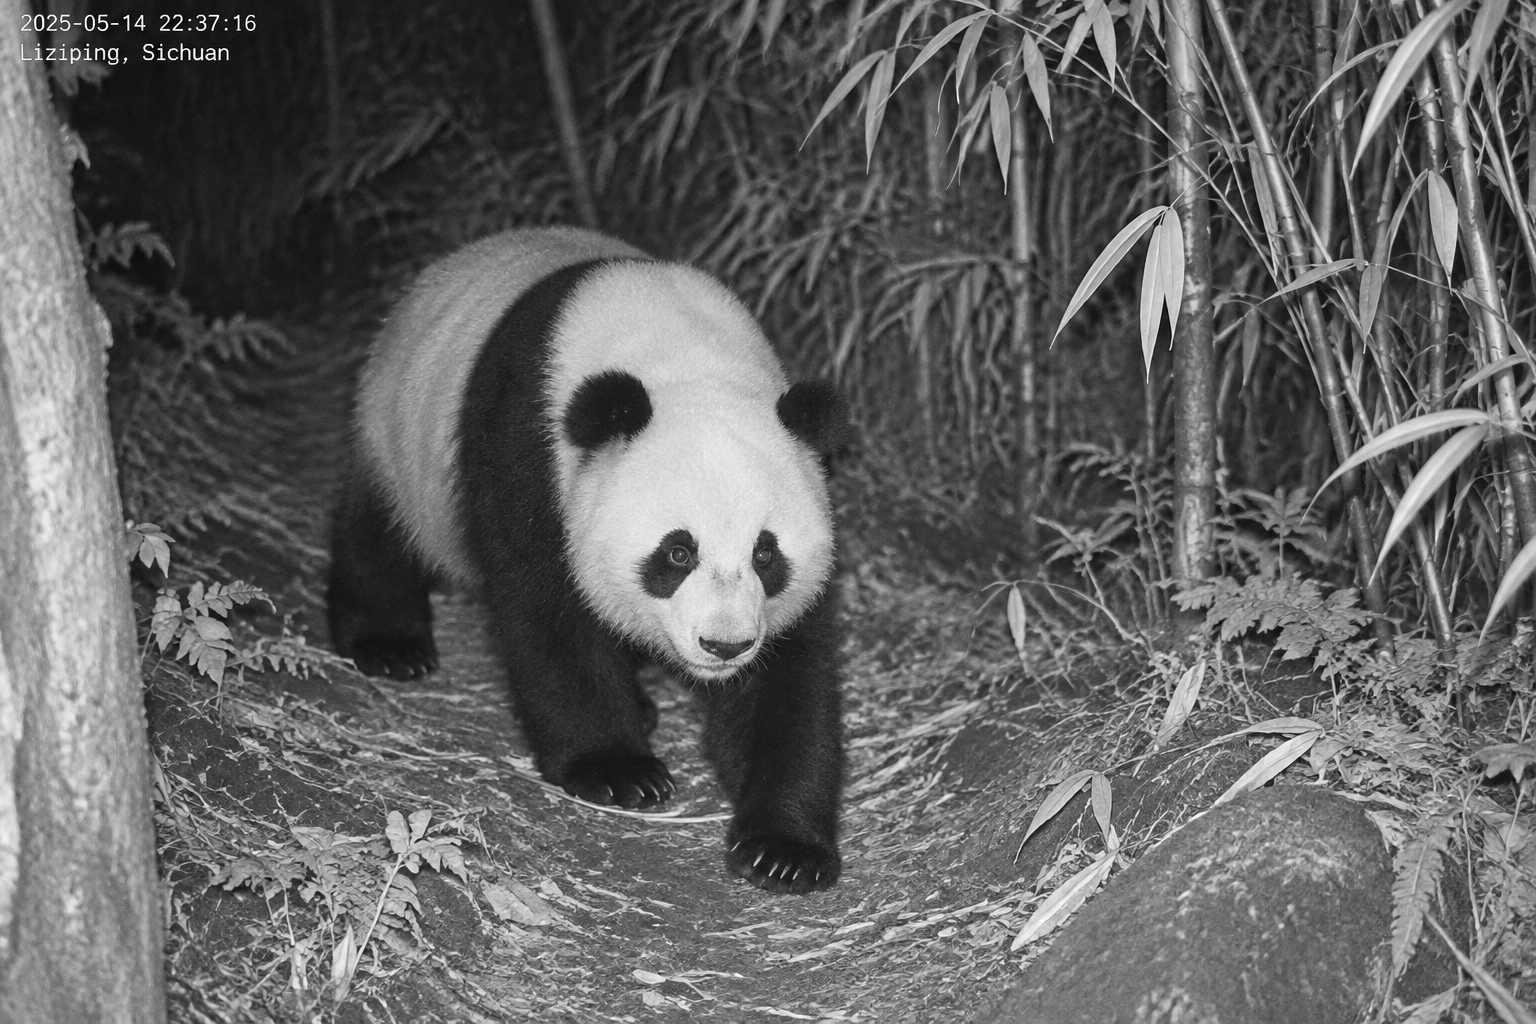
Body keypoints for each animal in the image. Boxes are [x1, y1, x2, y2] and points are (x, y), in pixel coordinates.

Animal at [328, 227, 848, 894]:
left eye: (765, 554)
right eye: (678, 552)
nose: (725, 645)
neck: (683, 353)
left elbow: (788, 678)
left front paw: (783, 847)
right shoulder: (531, 453)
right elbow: (548, 616)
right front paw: (619, 770)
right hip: (399, 429)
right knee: (380, 528)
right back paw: (390, 645)